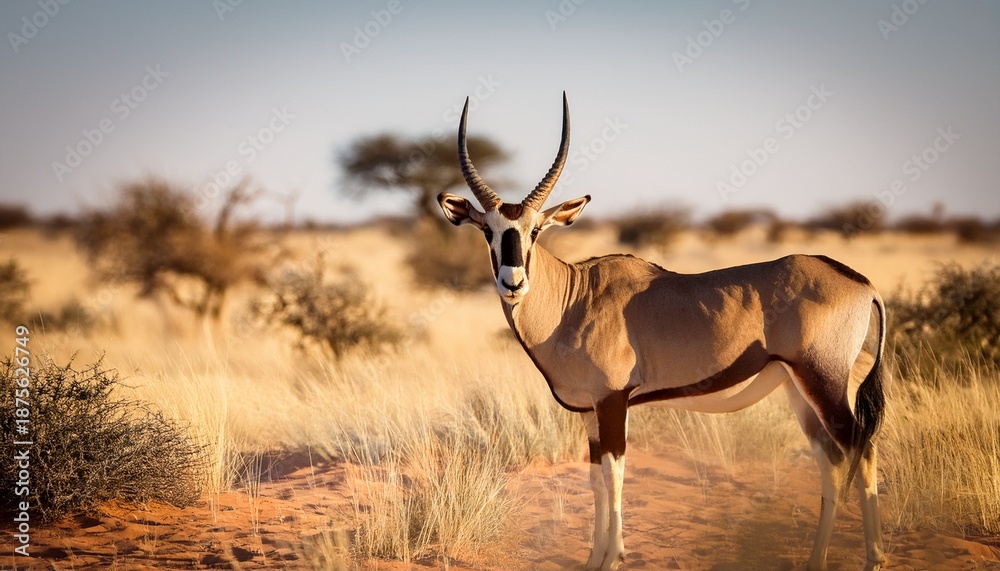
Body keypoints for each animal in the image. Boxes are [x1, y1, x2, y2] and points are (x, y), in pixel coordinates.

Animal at [437, 93, 887, 571]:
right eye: (488, 230)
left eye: (536, 230)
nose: (513, 282)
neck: (574, 298)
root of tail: (862, 283)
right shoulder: (590, 412)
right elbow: (595, 479)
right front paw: (593, 559)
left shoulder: (613, 402)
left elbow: (614, 475)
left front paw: (613, 557)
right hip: (800, 390)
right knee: (839, 457)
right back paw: (833, 559)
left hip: (824, 383)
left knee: (857, 449)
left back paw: (858, 558)